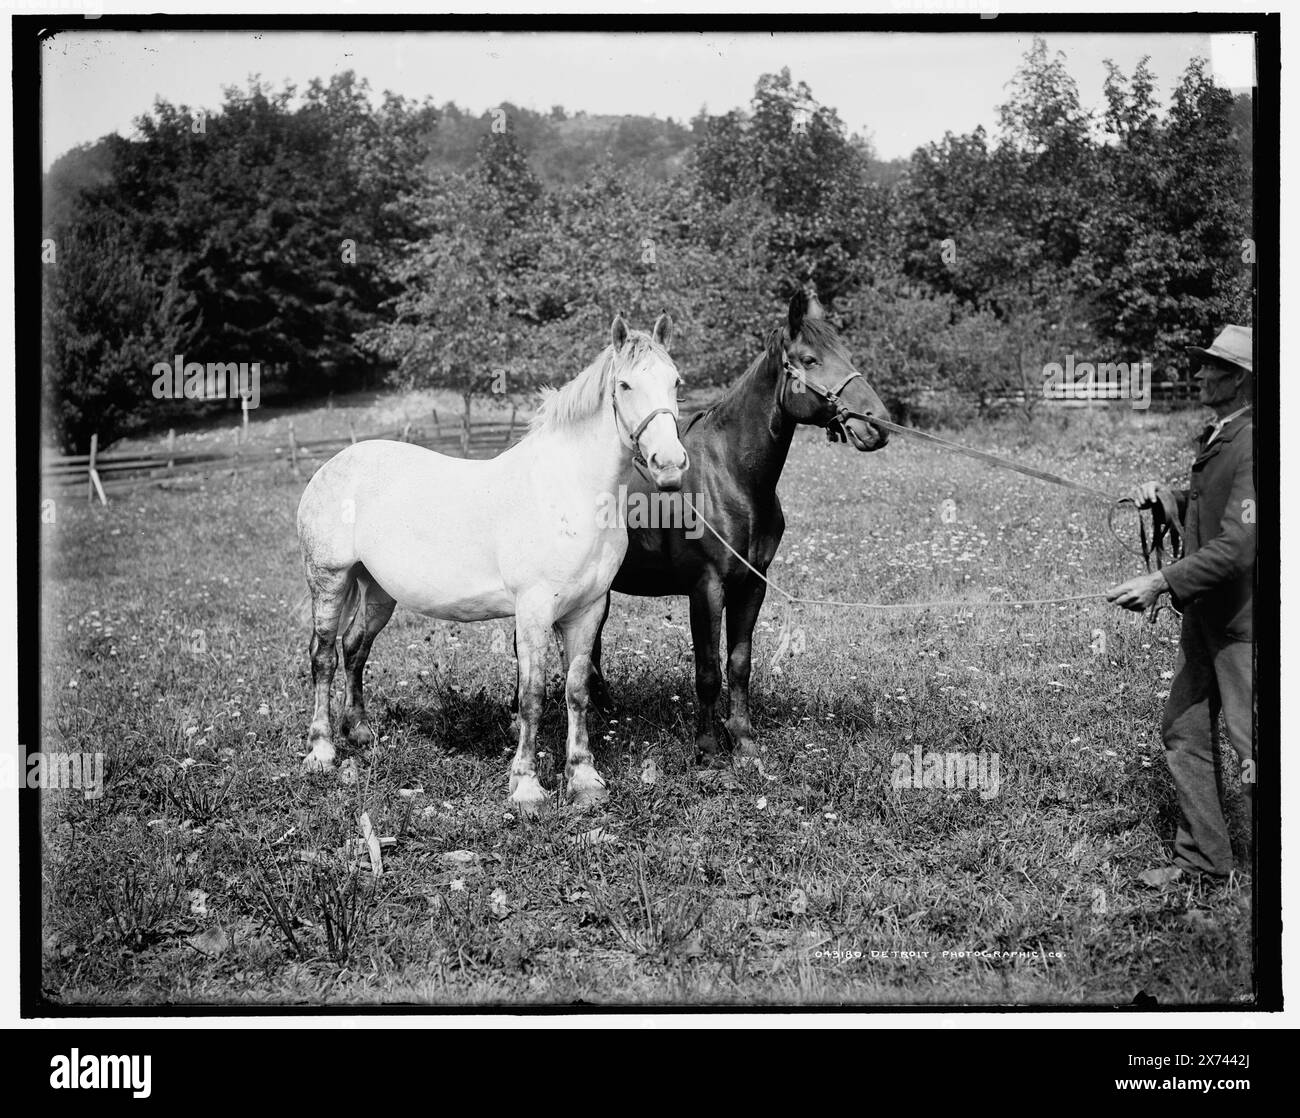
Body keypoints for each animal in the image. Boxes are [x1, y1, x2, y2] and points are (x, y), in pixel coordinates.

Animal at [297, 314, 691, 811]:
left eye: (675, 382)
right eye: (625, 385)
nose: (670, 464)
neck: (568, 490)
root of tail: (331, 466)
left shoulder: (588, 610)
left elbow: (577, 692)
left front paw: (584, 780)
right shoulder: (534, 610)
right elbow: (532, 697)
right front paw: (527, 788)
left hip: (377, 592)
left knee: (354, 650)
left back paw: (362, 733)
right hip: (329, 580)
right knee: (324, 657)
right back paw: (322, 750)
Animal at [590, 288, 894, 764]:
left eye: (845, 354)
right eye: (810, 360)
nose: (876, 423)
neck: (731, 475)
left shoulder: (753, 584)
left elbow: (739, 663)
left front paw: (744, 740)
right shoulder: (706, 586)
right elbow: (708, 670)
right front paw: (707, 747)